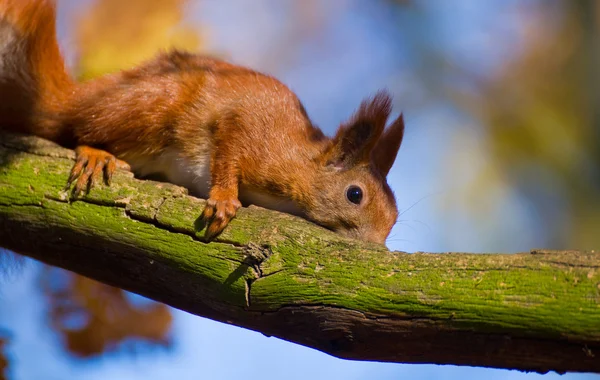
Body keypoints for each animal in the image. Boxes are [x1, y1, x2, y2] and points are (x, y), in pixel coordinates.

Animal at [0, 0, 406, 243]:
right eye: (355, 194)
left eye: (395, 215)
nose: (377, 247)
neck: (300, 160)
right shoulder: (247, 126)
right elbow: (227, 151)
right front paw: (224, 198)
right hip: (151, 107)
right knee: (74, 128)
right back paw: (94, 152)